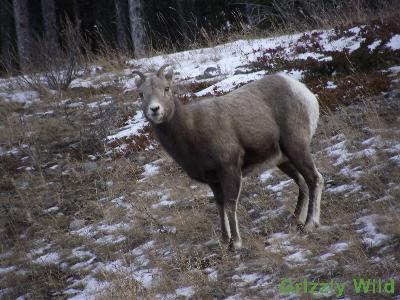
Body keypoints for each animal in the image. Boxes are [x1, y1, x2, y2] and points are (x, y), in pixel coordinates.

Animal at [133, 65, 324, 251]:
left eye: (166, 88)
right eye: (141, 94)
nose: (154, 109)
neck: (191, 131)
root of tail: (302, 91)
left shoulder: (229, 171)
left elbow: (230, 206)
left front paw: (236, 244)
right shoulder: (214, 182)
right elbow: (220, 207)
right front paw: (225, 242)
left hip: (296, 148)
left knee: (314, 179)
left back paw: (310, 224)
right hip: (283, 160)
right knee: (302, 182)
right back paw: (295, 219)